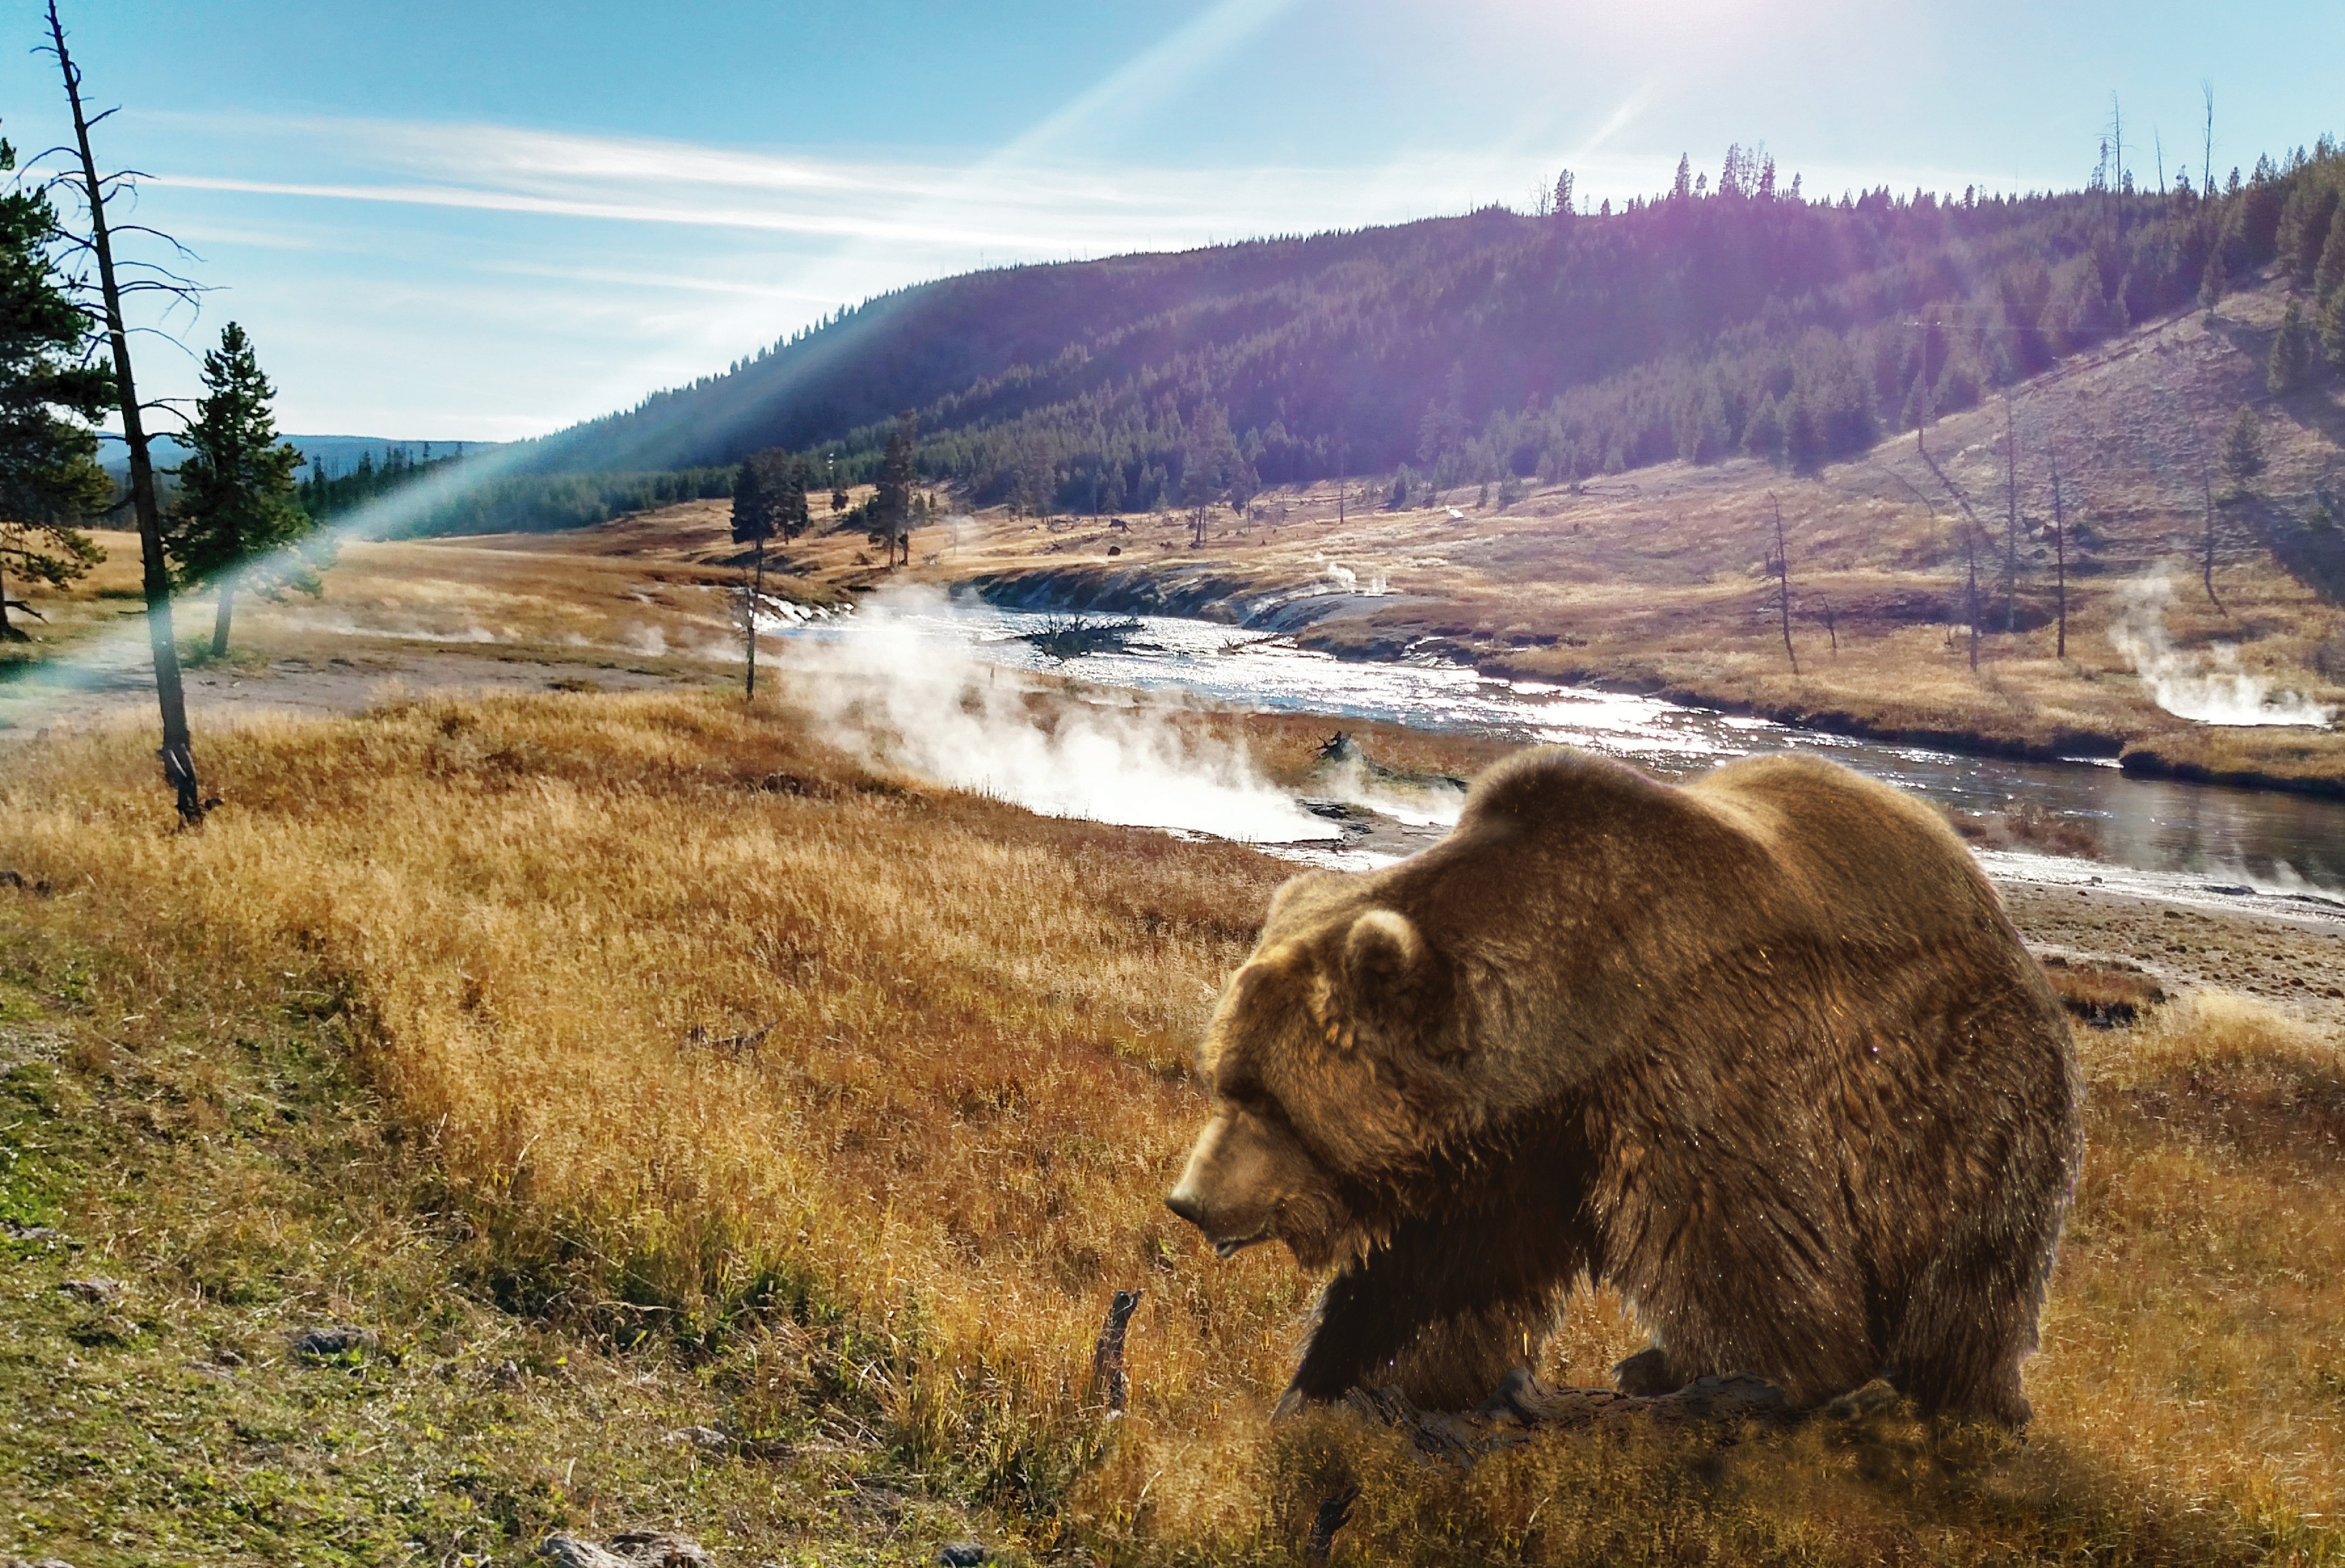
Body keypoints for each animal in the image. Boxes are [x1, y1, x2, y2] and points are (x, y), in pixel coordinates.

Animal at [1163, 745, 2082, 1415]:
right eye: (1223, 1077)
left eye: (1268, 1101)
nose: (1190, 1200)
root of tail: (1997, 914)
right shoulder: (1512, 1145)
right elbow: (1435, 1281)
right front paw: (1343, 1383)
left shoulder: (1696, 1068)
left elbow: (1743, 1245)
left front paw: (1771, 1380)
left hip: (1965, 1085)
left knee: (1966, 1270)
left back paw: (1954, 1397)